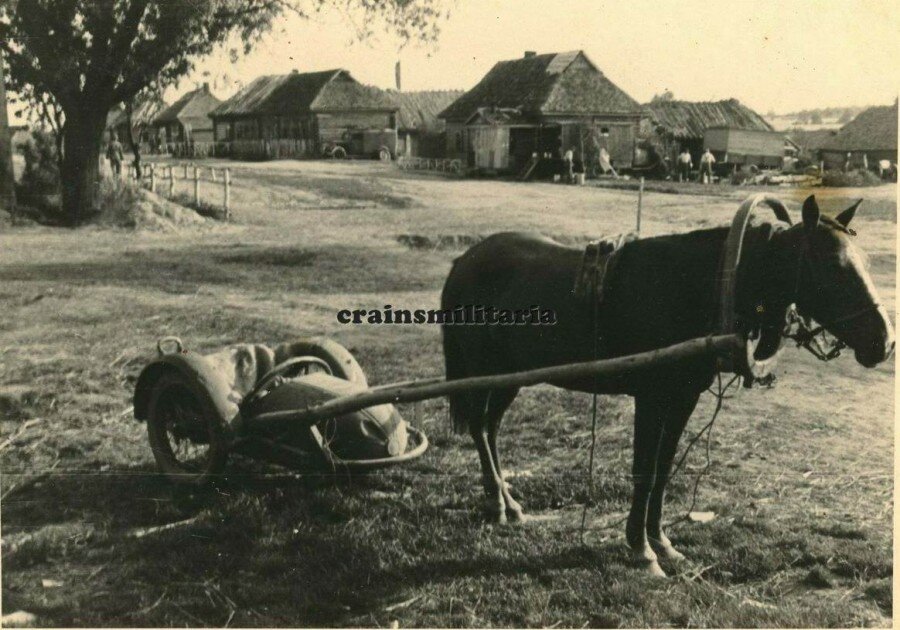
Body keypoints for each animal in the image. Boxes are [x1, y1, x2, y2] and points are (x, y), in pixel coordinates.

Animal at [442, 196, 892, 576]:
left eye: (867, 260)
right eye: (834, 265)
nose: (884, 343)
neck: (694, 285)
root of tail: (465, 259)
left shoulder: (682, 399)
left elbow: (662, 470)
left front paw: (661, 542)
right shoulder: (651, 399)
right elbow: (644, 471)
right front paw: (640, 550)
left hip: (510, 375)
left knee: (491, 428)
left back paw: (508, 502)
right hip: (482, 370)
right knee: (480, 427)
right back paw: (498, 503)